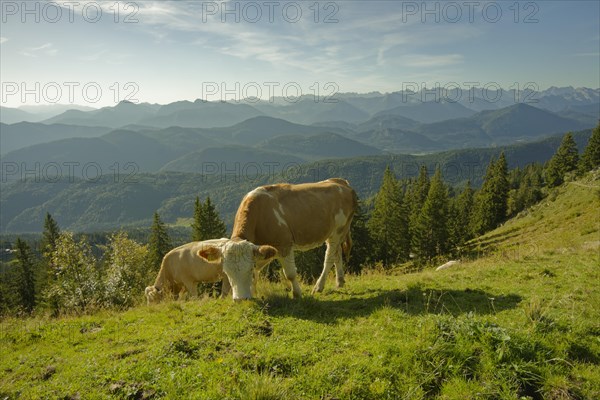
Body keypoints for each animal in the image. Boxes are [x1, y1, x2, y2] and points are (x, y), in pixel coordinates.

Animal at [197, 179, 356, 300]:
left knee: (329, 256)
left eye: (248, 269)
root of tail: (341, 182)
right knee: (337, 253)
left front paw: (297, 294)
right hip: (334, 233)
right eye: (226, 272)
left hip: (338, 230)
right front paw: (253, 291)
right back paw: (340, 282)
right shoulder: (263, 249)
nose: (240, 299)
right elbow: (258, 272)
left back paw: (319, 286)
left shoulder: (284, 244)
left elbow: (290, 274)